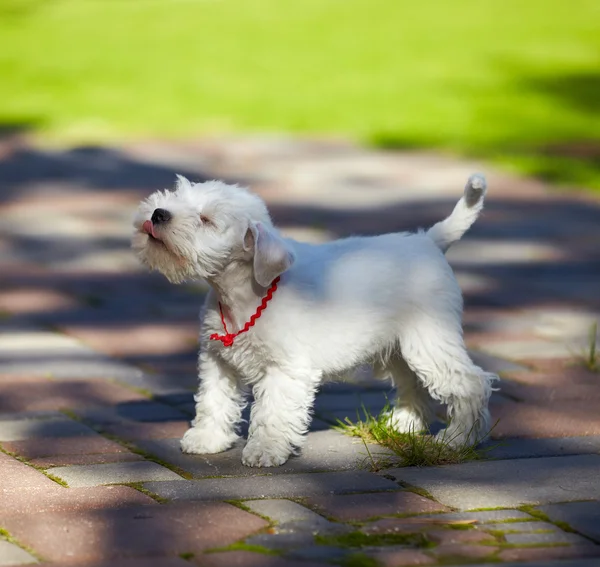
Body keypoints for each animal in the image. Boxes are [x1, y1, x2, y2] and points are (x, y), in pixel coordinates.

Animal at [134, 173, 500, 466]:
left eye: (206, 219)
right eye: (176, 195)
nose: (158, 213)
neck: (243, 293)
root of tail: (429, 241)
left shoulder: (286, 369)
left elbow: (273, 411)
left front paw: (265, 450)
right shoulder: (218, 360)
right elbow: (213, 401)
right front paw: (207, 439)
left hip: (429, 340)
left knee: (472, 384)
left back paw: (458, 440)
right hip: (400, 347)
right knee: (413, 383)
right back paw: (404, 424)